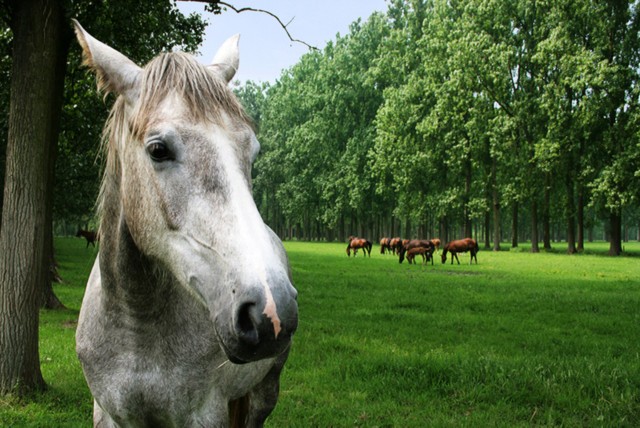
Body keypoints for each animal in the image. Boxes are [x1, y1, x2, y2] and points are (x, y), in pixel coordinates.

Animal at [72, 20, 298, 428]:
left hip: (264, 392)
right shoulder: (108, 413)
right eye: (158, 150)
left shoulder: (205, 414)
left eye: (253, 152)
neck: (136, 329)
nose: (272, 311)